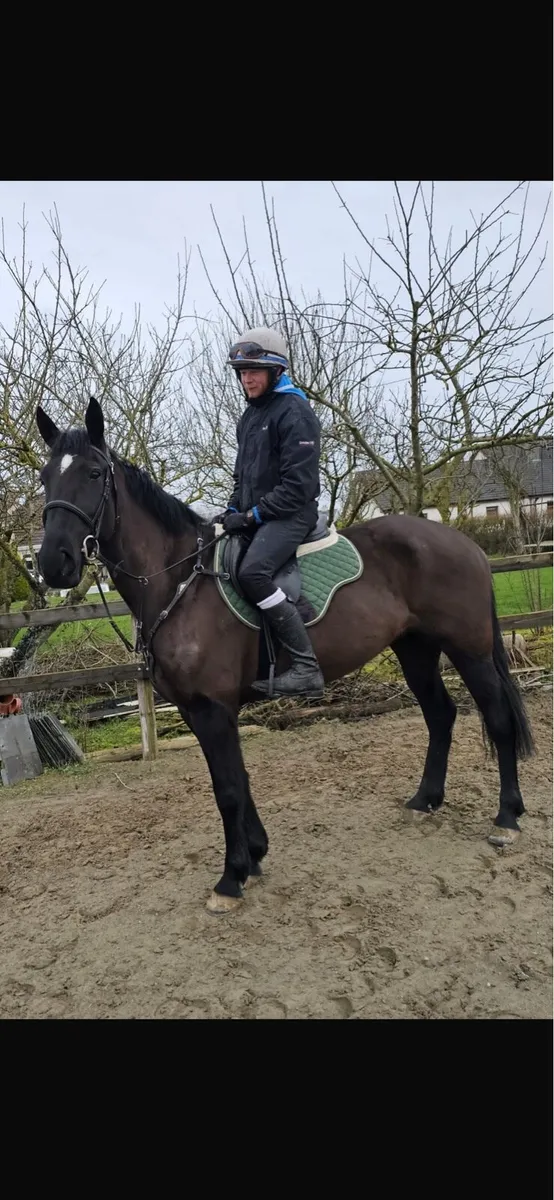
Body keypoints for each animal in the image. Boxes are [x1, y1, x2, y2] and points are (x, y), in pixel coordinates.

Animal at [35, 398, 533, 913]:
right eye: (45, 477)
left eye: (95, 472)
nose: (53, 563)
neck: (181, 583)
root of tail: (465, 542)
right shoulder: (199, 711)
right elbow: (238, 779)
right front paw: (254, 855)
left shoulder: (212, 709)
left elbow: (227, 789)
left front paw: (231, 878)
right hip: (415, 649)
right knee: (440, 715)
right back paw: (425, 800)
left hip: (470, 651)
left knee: (498, 719)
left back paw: (507, 818)